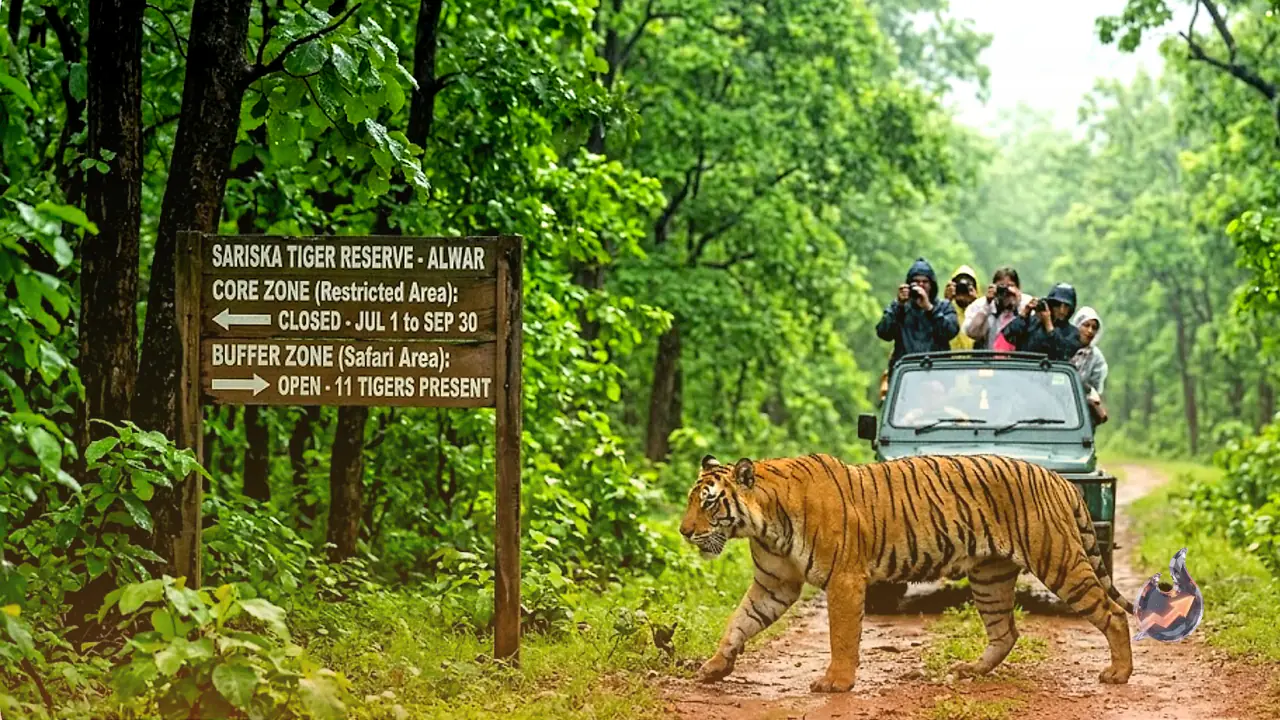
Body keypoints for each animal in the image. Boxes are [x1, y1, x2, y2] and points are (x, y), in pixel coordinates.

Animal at [679, 453, 1133, 693]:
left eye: (709, 502)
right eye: (691, 501)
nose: (683, 531)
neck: (763, 524)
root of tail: (1059, 478)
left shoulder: (844, 579)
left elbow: (842, 636)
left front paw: (836, 682)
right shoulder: (774, 584)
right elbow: (739, 622)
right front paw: (714, 667)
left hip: (1059, 560)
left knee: (1113, 613)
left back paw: (1119, 674)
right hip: (990, 577)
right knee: (1005, 632)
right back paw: (970, 671)